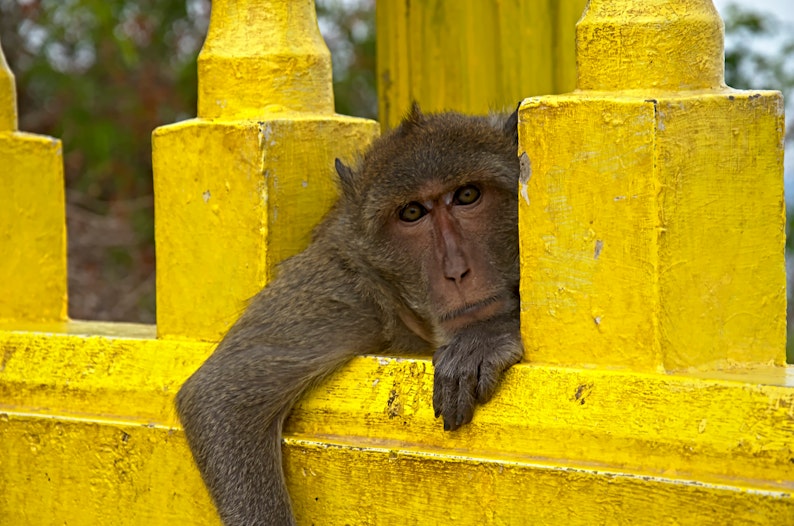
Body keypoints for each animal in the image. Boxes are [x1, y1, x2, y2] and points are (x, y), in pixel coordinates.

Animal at [178, 105, 524, 524]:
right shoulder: (343, 286)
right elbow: (219, 393)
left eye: (467, 195)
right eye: (412, 212)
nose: (456, 270)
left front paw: (485, 337)